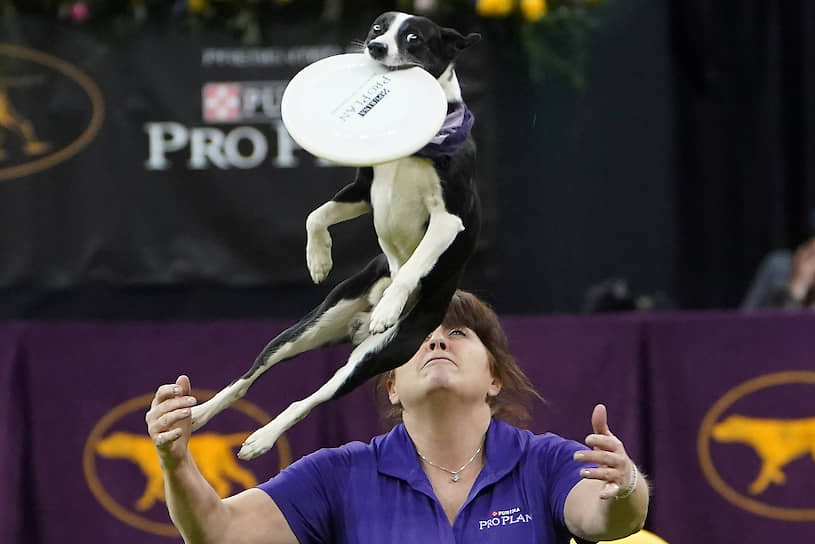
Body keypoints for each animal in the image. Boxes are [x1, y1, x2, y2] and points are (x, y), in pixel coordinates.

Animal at [191, 11, 484, 460]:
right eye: (378, 29)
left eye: (413, 38)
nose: (375, 49)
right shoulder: (365, 188)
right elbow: (316, 215)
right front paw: (318, 260)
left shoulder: (448, 220)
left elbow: (413, 265)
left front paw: (389, 304)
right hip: (309, 326)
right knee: (247, 377)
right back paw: (196, 414)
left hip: (374, 356)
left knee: (308, 399)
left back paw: (261, 438)